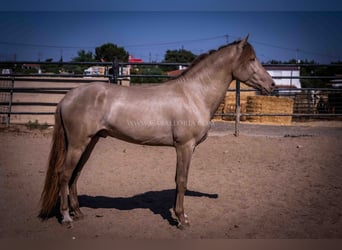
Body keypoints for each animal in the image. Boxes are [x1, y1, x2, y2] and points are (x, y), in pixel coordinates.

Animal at [38, 35, 274, 229]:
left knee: (75, 175)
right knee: (64, 174)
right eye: (251, 59)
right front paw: (182, 220)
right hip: (78, 144)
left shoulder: (186, 148)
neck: (193, 94)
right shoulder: (184, 146)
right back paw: (66, 218)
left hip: (90, 142)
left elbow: (178, 180)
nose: (272, 85)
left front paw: (179, 216)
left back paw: (78, 213)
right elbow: (182, 181)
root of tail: (67, 97)